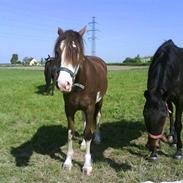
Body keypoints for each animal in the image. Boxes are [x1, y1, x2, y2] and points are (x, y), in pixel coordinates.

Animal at [55, 26, 108, 174]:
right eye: (57, 51)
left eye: (76, 51)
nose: (63, 84)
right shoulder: (69, 109)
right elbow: (70, 133)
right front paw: (67, 162)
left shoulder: (90, 107)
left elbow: (88, 132)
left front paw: (87, 165)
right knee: (85, 120)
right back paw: (84, 143)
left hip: (99, 102)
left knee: (98, 117)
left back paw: (97, 138)